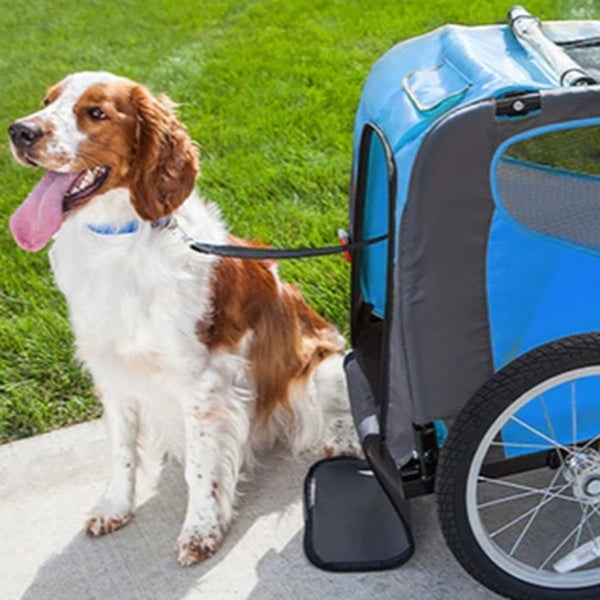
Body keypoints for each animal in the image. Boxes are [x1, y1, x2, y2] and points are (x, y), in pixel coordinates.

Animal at [8, 72, 356, 564]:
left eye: (95, 112)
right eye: (47, 101)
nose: (19, 132)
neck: (119, 241)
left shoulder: (201, 382)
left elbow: (200, 468)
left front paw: (200, 529)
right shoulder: (112, 371)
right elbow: (121, 451)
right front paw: (115, 506)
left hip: (323, 362)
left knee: (340, 407)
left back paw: (340, 440)